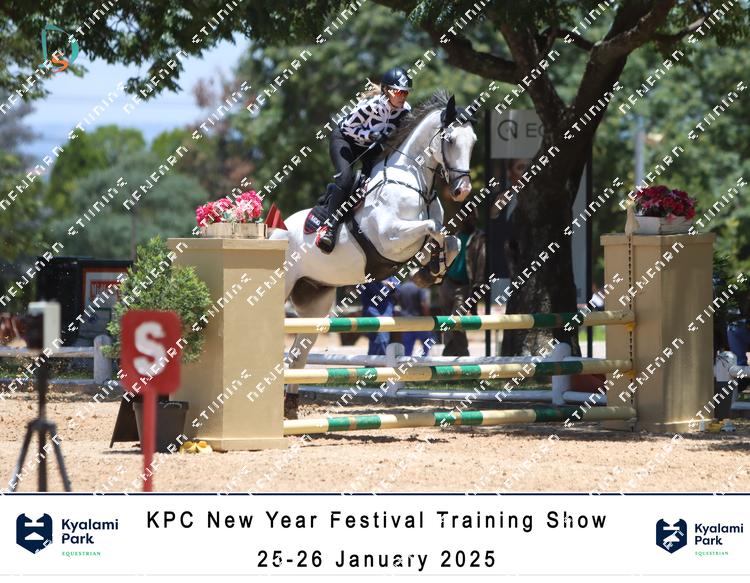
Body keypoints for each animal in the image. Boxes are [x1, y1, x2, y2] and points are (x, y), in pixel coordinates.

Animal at [270, 91, 478, 417]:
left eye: (474, 141)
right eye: (452, 139)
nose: (463, 190)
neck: (415, 183)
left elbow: (451, 240)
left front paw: (432, 270)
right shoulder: (390, 238)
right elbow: (433, 229)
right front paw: (428, 266)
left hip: (316, 300)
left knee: (298, 354)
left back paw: (290, 407)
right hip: (285, 286)